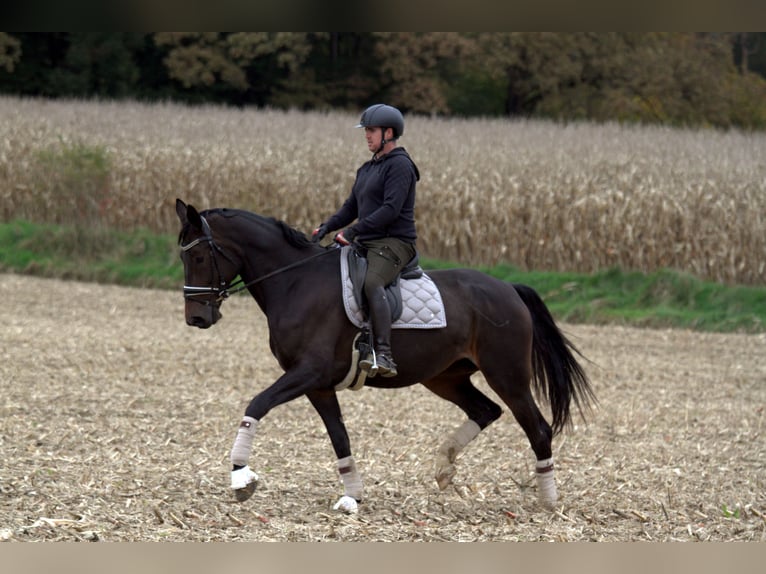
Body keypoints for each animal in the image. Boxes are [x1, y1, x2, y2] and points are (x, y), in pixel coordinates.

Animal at [177, 200, 596, 516]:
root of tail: (508, 288)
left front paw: (240, 477)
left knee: (538, 428)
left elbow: (256, 405)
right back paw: (444, 468)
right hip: (445, 377)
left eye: (198, 256)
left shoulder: (307, 373)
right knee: (485, 410)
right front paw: (352, 496)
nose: (196, 318)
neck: (296, 282)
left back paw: (547, 502)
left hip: (506, 375)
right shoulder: (318, 385)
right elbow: (339, 437)